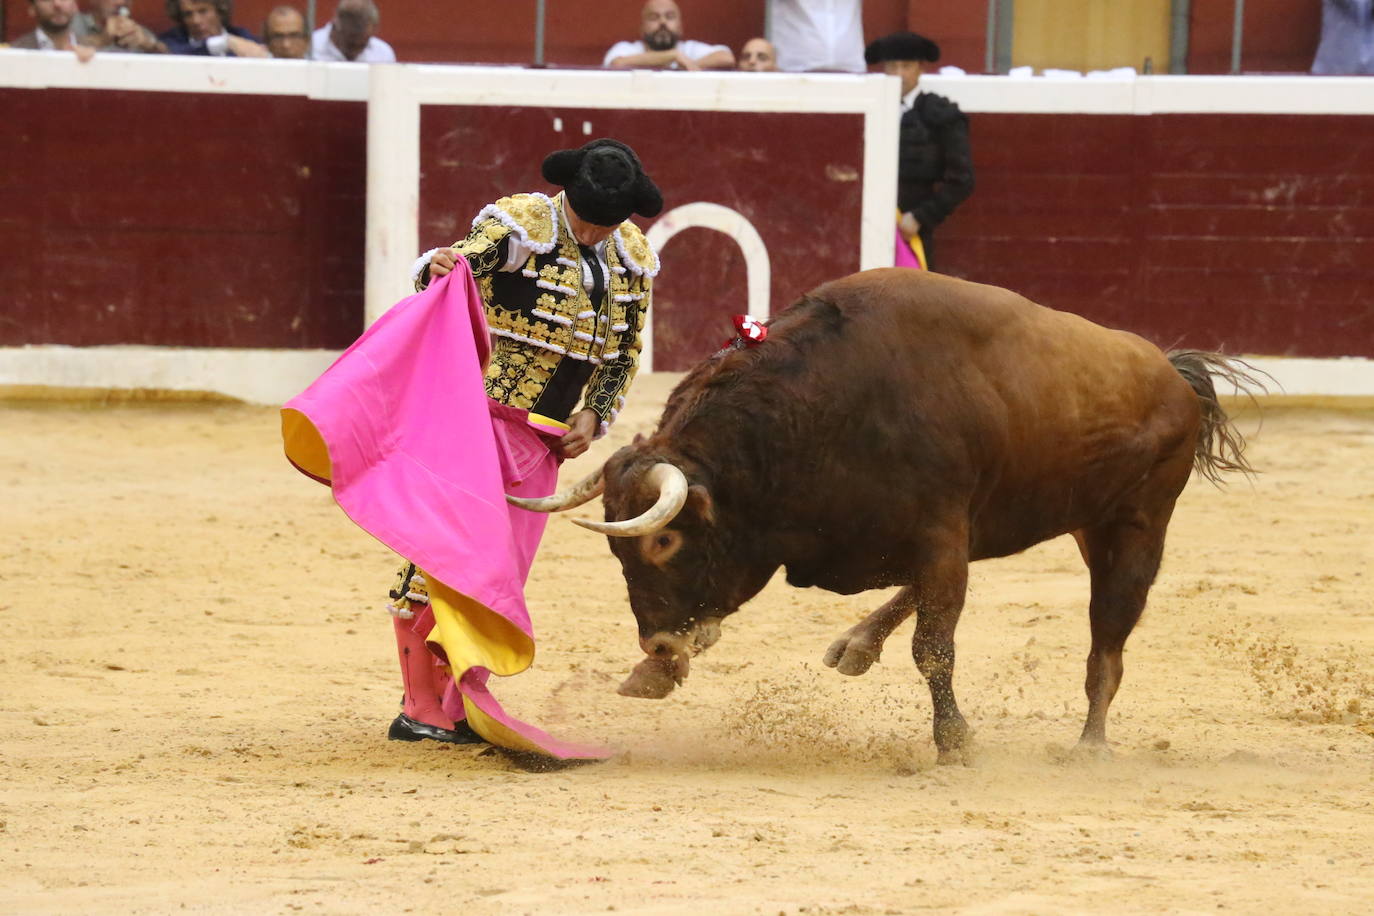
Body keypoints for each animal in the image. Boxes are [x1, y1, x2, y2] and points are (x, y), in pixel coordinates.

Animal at [511, 269, 1258, 763]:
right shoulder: (933, 538)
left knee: (1108, 641)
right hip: (1035, 518)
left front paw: (954, 743)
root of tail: (1172, 370)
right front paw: (653, 675)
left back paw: (1090, 747)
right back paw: (856, 645)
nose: (660, 647)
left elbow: (935, 647)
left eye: (665, 540)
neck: (816, 411)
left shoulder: (939, 533)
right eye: (621, 553)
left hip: (1134, 525)